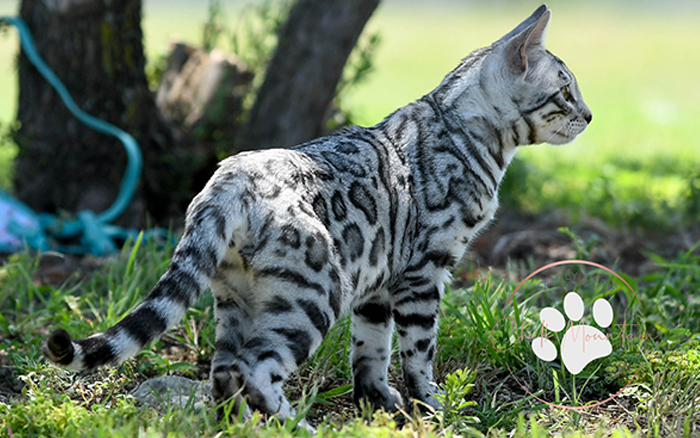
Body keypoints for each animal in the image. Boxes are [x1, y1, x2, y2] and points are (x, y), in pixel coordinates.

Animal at [42, 3, 592, 420]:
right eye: (565, 92)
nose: (589, 116)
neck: (468, 133)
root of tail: (228, 179)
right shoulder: (422, 273)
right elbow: (419, 352)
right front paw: (432, 407)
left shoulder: (377, 282)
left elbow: (371, 353)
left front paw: (379, 408)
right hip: (316, 293)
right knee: (256, 370)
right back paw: (295, 424)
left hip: (239, 298)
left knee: (225, 371)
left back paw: (247, 426)